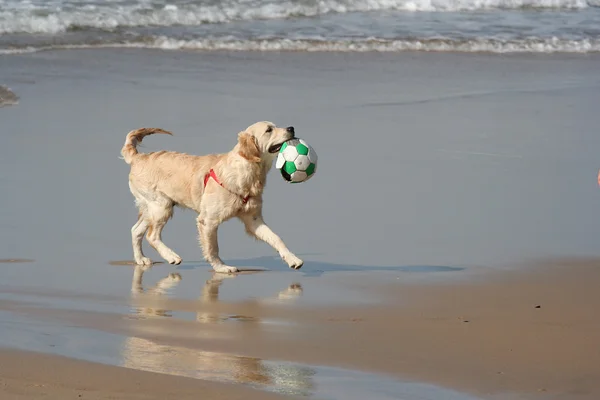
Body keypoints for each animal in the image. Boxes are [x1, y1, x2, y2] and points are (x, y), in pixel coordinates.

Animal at [120, 120, 304, 274]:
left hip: (153, 207)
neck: (247, 172)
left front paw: (292, 259)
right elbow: (213, 248)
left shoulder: (253, 219)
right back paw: (171, 256)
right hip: (161, 205)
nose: (291, 128)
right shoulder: (208, 221)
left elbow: (276, 238)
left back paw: (141, 259)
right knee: (152, 236)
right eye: (269, 130)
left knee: (136, 230)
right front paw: (221, 267)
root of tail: (138, 157)